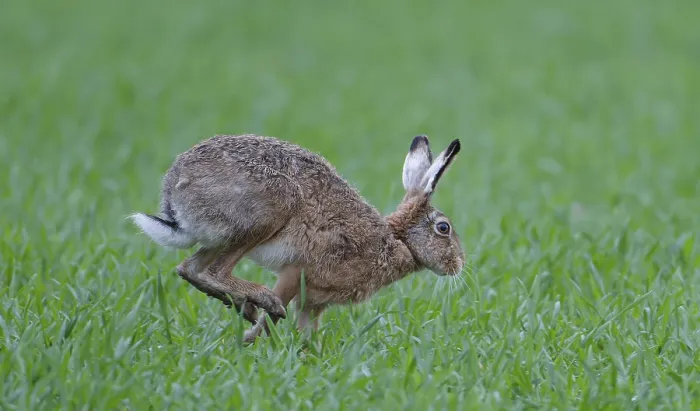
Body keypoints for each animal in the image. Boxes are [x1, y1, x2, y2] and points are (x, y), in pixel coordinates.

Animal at [130, 133, 465, 343]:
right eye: (443, 228)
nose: (459, 265)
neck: (398, 241)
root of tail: (175, 191)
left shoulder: (314, 303)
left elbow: (308, 332)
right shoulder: (299, 271)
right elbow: (279, 309)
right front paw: (249, 342)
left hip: (221, 237)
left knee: (191, 269)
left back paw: (242, 305)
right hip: (268, 212)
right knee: (217, 272)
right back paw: (261, 300)